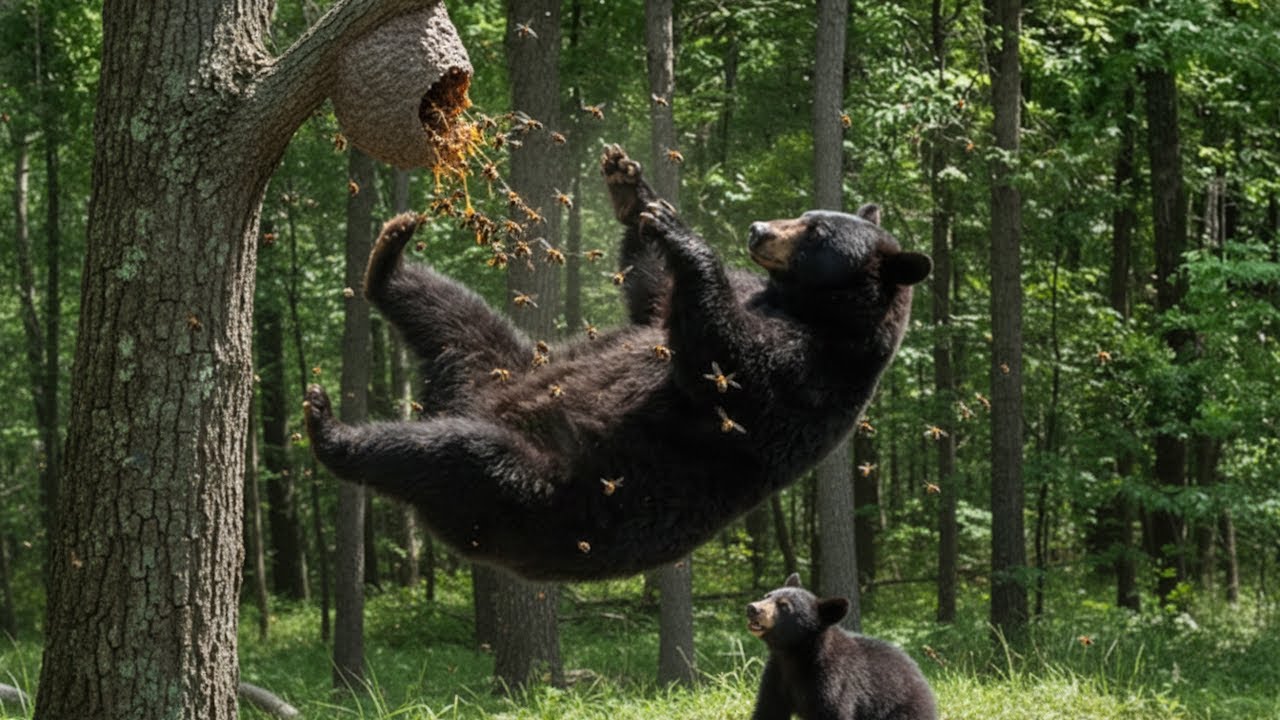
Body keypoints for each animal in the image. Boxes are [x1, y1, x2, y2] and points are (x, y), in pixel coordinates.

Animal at [302, 145, 931, 581]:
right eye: (806, 212)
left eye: (815, 230)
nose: (757, 229)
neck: (809, 306)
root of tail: (470, 402)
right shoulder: (751, 298)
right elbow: (654, 297)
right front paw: (632, 188)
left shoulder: (809, 375)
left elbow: (725, 365)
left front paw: (681, 232)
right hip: (502, 366)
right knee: (457, 320)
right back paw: (387, 255)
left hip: (532, 489)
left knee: (452, 452)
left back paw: (333, 430)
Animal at [747, 574, 938, 720]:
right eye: (767, 596)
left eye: (784, 606)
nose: (752, 608)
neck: (794, 654)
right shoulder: (776, 675)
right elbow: (768, 710)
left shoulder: (833, 680)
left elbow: (834, 711)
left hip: (902, 709)